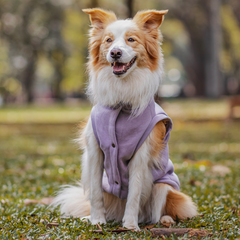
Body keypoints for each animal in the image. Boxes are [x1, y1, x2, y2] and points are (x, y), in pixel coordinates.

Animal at [53, 8, 199, 232]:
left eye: (131, 39)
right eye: (108, 40)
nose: (115, 53)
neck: (122, 101)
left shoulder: (140, 156)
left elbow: (134, 194)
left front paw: (130, 225)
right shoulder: (95, 152)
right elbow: (96, 193)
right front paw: (97, 221)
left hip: (163, 185)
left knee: (156, 213)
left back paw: (162, 221)